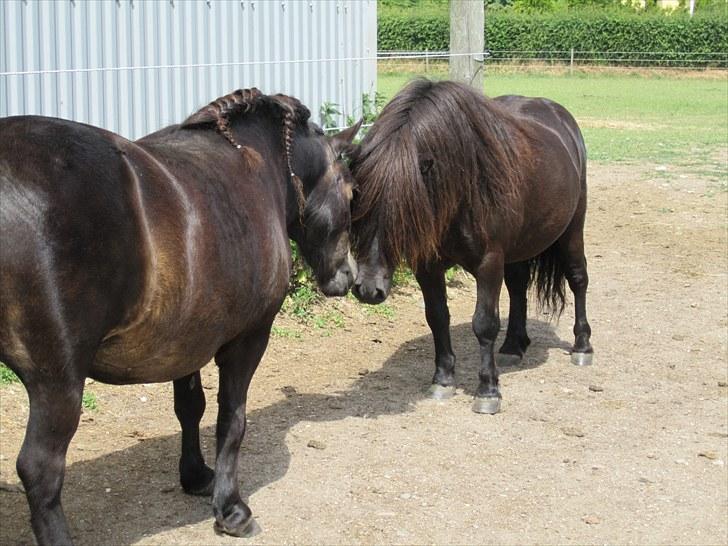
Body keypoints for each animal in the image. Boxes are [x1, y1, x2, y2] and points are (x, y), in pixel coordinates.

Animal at [0, 87, 362, 540]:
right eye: (350, 194)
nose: (347, 277)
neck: (258, 166)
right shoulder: (248, 339)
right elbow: (232, 418)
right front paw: (230, 508)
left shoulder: (187, 338)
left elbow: (190, 408)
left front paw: (196, 475)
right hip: (59, 383)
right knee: (41, 469)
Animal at [350, 78, 596, 412]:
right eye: (357, 214)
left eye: (403, 216)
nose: (367, 290)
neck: (462, 188)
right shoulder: (428, 266)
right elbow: (437, 316)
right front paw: (442, 380)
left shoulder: (488, 262)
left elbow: (484, 323)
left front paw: (488, 390)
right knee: (518, 287)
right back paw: (513, 346)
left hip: (572, 230)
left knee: (578, 279)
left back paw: (582, 346)